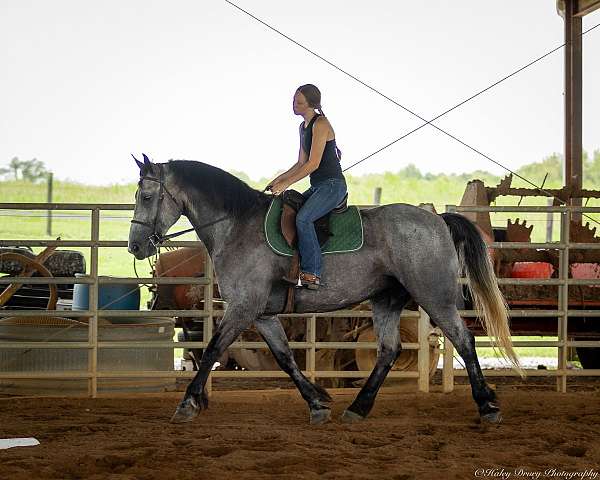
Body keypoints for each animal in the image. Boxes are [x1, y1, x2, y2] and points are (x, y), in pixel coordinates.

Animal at [129, 156, 524, 426]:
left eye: (147, 196)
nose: (135, 246)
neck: (237, 225)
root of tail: (437, 219)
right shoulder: (263, 314)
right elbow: (285, 359)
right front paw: (318, 402)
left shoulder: (242, 308)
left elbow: (212, 349)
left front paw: (187, 403)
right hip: (387, 299)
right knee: (388, 350)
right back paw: (358, 407)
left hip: (433, 297)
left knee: (464, 340)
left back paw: (487, 405)